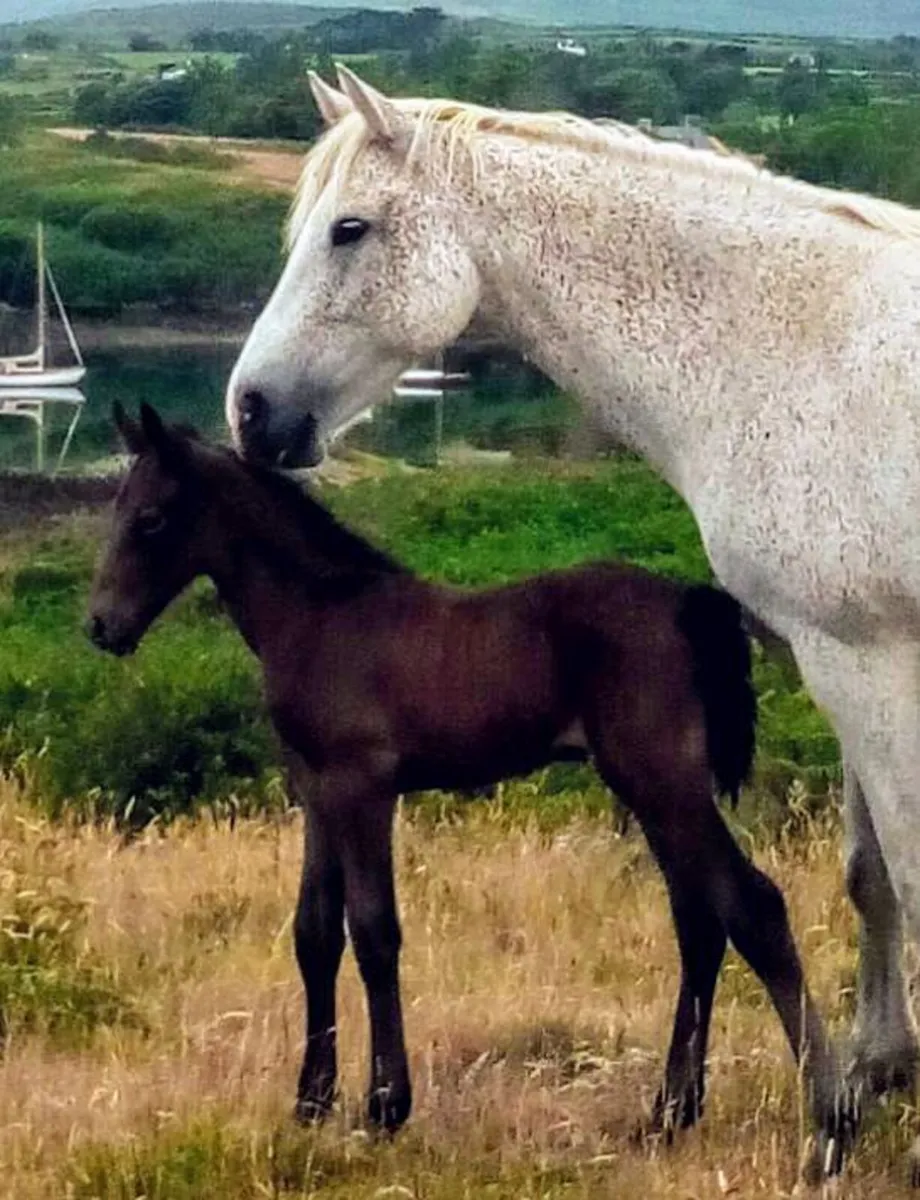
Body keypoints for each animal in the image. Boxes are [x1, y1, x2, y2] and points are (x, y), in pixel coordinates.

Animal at [86, 401, 836, 1150]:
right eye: (114, 506)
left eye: (150, 518)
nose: (101, 627)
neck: (322, 617)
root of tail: (688, 603)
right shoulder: (317, 790)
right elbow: (315, 932)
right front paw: (311, 1102)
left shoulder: (364, 787)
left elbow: (375, 931)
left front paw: (385, 1105)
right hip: (655, 790)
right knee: (701, 920)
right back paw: (672, 1111)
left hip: (662, 780)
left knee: (753, 906)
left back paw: (831, 1115)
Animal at [223, 67, 920, 1174]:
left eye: (349, 229)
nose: (251, 411)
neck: (801, 349)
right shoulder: (842, 660)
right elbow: (871, 876)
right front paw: (877, 1071)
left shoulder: (868, 660)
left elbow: (904, 868)